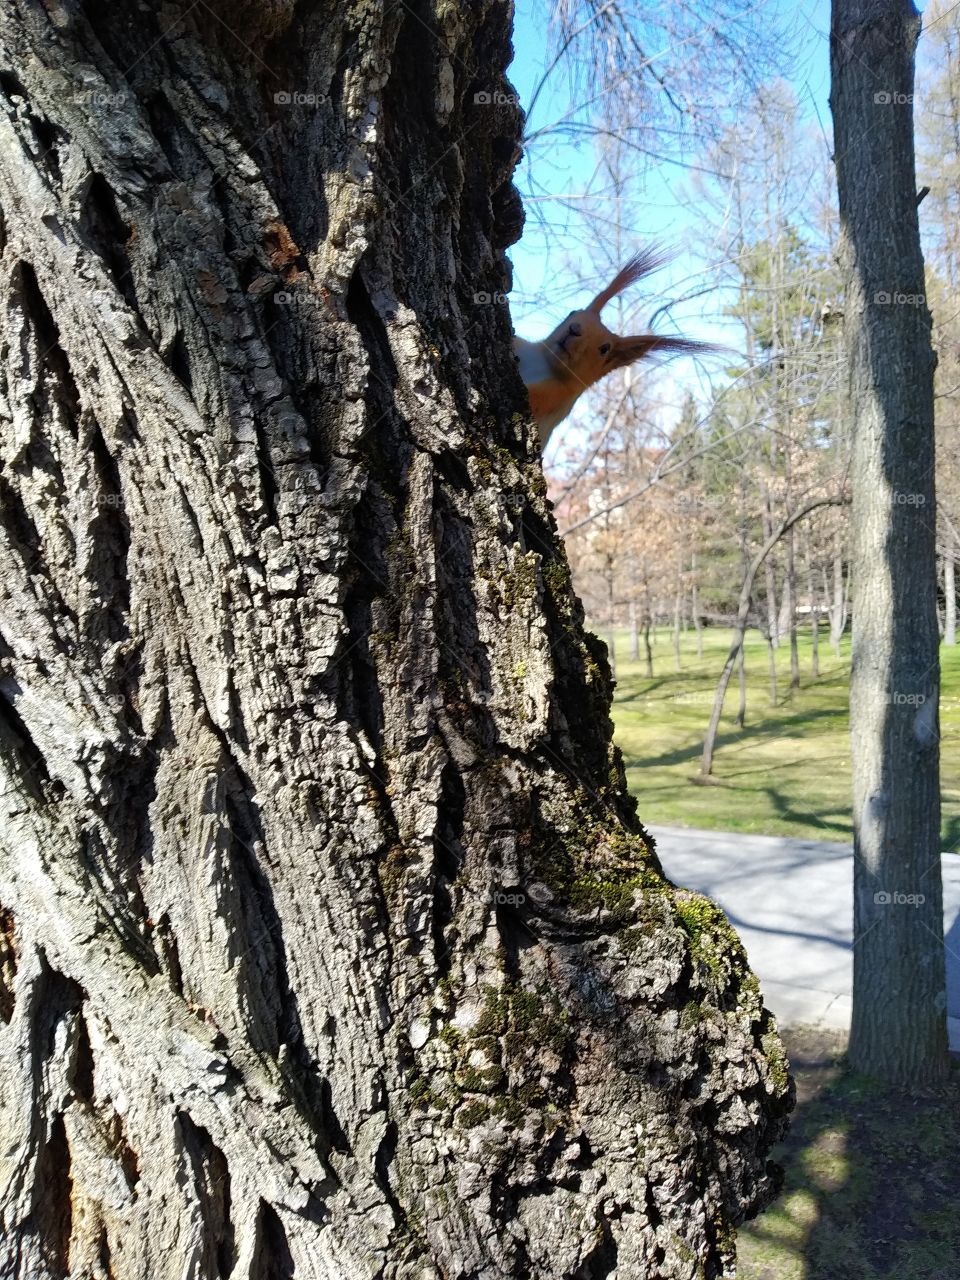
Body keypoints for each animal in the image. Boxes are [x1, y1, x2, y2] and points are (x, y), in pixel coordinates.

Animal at [512, 248, 717, 448]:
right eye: (573, 312)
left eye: (604, 349)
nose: (574, 329)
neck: (544, 362)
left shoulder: (555, 396)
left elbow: (533, 398)